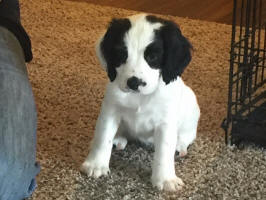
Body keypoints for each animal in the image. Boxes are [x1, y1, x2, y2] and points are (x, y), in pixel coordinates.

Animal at [81, 14, 200, 192]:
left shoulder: (166, 122)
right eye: (121, 54)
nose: (134, 82)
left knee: (188, 134)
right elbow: (103, 137)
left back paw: (180, 145)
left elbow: (164, 150)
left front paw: (165, 179)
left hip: (191, 103)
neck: (140, 97)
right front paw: (96, 164)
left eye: (152, 57)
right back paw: (118, 138)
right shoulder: (110, 110)